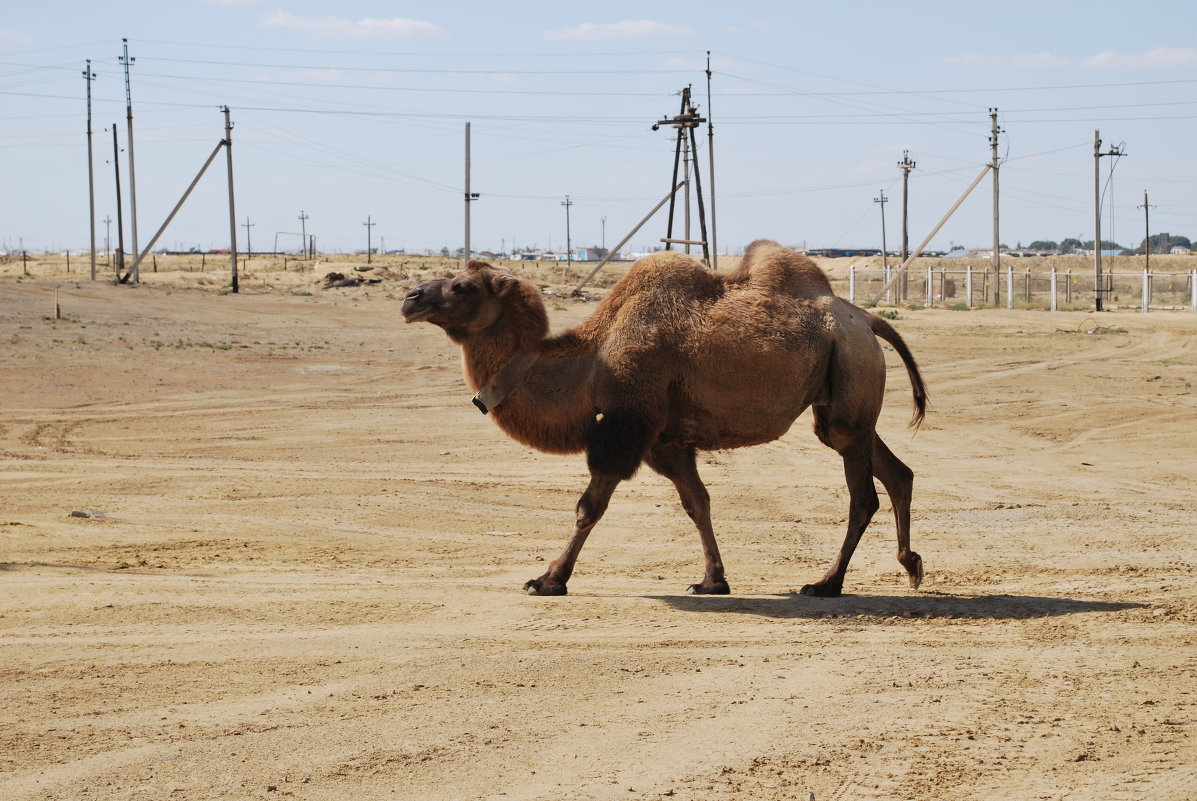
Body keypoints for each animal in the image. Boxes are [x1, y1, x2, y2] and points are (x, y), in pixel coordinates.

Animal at [399, 240, 924, 596]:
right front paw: (712, 580)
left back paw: (826, 583)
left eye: (462, 286)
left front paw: (549, 578)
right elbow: (697, 503)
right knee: (896, 471)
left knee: (862, 496)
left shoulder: (627, 423)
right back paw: (911, 565)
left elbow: (588, 507)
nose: (410, 298)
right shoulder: (665, 441)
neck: (593, 357)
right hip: (842, 404)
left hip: (850, 374)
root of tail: (866, 319)